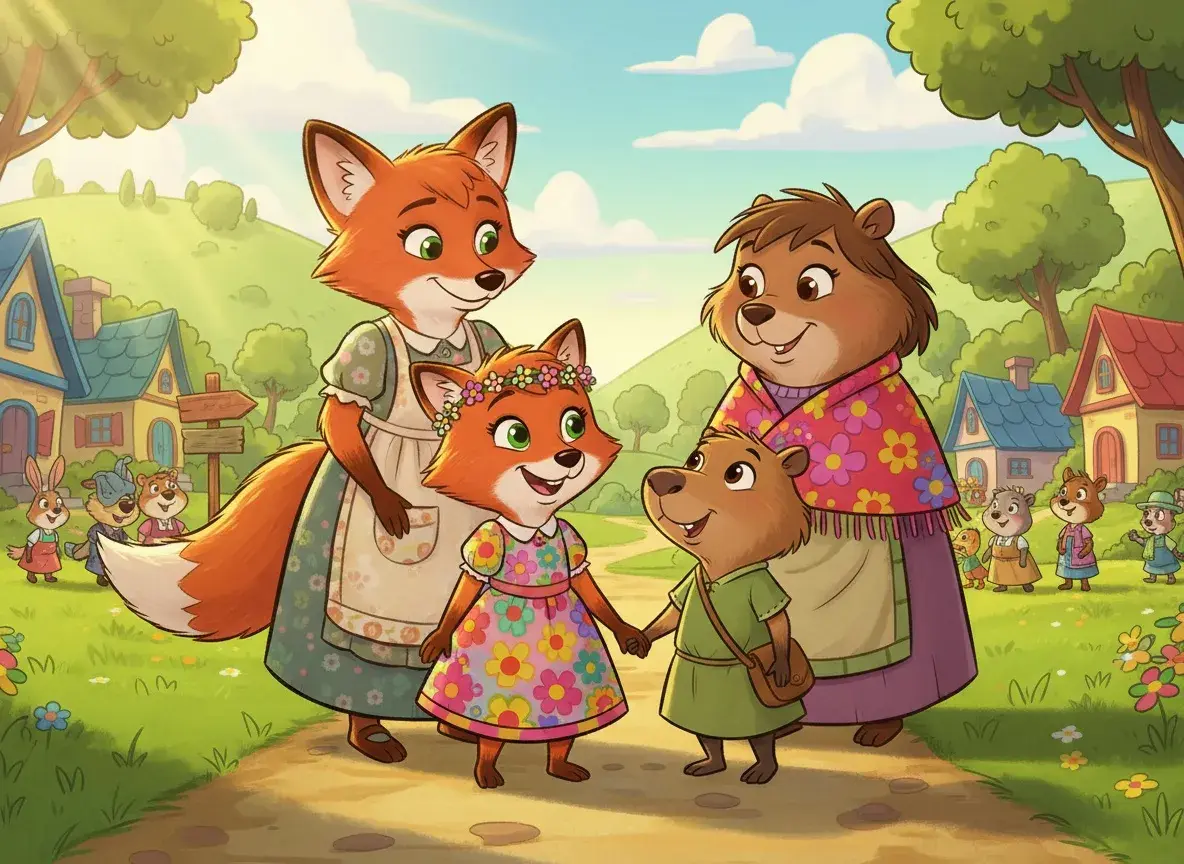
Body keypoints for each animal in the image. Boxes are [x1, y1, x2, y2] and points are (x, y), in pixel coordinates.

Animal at [98, 103, 536, 763]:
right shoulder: (359, 360)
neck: (433, 333)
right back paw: (372, 732)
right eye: (427, 244)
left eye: (490, 234)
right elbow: (342, 418)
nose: (488, 276)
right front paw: (395, 511)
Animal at [410, 319, 648, 789]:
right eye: (516, 434)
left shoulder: (573, 546)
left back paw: (562, 766)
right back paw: (485, 770)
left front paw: (628, 634)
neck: (535, 525)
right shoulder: (484, 544)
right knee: (489, 738)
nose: (569, 455)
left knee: (561, 741)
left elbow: (585, 582)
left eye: (574, 423)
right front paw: (438, 639)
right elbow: (468, 583)